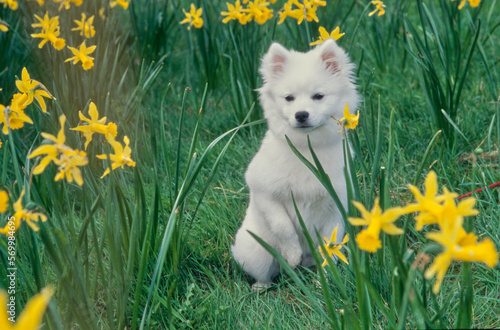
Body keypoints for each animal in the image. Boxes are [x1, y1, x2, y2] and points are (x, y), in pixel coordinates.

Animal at [230, 39, 360, 288]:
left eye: (318, 96)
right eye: (289, 98)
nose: (301, 114)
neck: (307, 152)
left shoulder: (335, 204)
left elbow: (329, 245)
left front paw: (326, 280)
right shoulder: (265, 193)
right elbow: (283, 227)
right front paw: (291, 254)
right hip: (256, 252)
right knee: (264, 272)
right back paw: (263, 285)